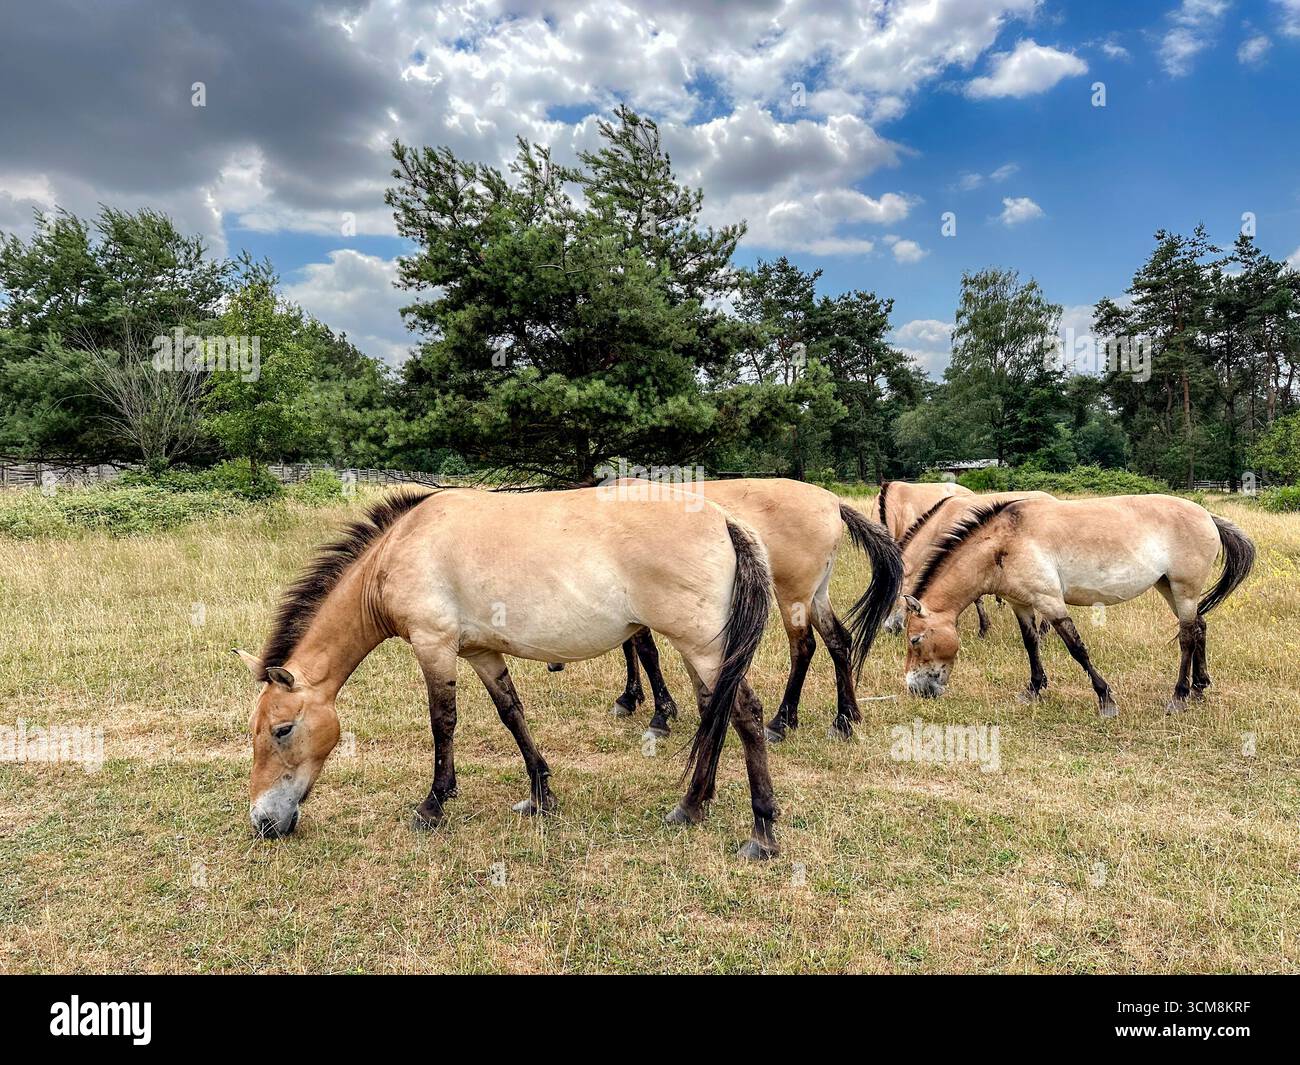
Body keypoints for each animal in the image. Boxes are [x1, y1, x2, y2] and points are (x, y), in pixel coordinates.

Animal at [235, 487, 785, 860]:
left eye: (282, 730)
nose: (262, 821)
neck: (400, 550)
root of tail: (726, 521)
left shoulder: (434, 646)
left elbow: (443, 723)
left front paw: (433, 806)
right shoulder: (482, 654)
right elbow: (512, 714)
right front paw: (540, 796)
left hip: (704, 648)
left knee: (745, 715)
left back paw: (761, 833)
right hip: (702, 654)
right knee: (712, 713)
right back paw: (691, 807)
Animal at [553, 477, 903, 744]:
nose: (554, 665)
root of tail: (832, 502)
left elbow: (646, 652)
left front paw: (660, 715)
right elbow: (632, 648)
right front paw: (630, 697)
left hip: (793, 595)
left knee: (804, 647)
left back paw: (781, 722)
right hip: (816, 594)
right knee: (838, 641)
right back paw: (845, 719)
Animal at [883, 490, 1055, 637]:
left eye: (893, 597)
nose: (888, 629)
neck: (942, 522)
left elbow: (975, 598)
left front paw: (982, 629)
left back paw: (1043, 631)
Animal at [899, 495, 1255, 715]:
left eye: (915, 640)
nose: (914, 689)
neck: (1004, 544)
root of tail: (1208, 516)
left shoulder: (1050, 602)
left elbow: (1076, 649)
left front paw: (1105, 698)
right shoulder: (1021, 604)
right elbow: (1031, 644)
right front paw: (1034, 689)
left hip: (1184, 589)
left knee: (1187, 637)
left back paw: (1179, 696)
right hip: (1169, 587)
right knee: (1199, 628)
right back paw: (1199, 688)